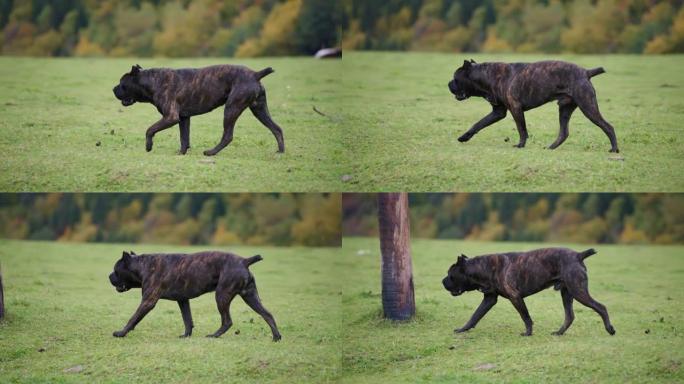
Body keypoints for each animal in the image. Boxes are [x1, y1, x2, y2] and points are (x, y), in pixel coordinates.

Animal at [109, 250, 280, 340]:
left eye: (116, 270)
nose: (109, 276)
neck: (143, 266)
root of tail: (244, 261)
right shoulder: (183, 301)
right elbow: (187, 319)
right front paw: (186, 335)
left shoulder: (148, 301)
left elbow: (133, 318)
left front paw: (121, 333)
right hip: (250, 297)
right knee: (267, 314)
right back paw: (276, 337)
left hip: (222, 296)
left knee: (227, 321)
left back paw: (214, 335)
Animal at [112, 65, 284, 156]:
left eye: (122, 83)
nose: (113, 89)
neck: (152, 81)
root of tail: (255, 74)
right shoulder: (183, 118)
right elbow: (184, 137)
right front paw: (182, 153)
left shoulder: (170, 117)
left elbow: (150, 129)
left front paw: (148, 146)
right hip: (259, 110)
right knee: (277, 129)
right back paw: (280, 151)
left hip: (231, 109)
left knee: (227, 136)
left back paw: (212, 152)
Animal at [440, 249, 616, 336]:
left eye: (450, 275)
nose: (442, 281)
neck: (482, 267)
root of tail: (578, 255)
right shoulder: (489, 300)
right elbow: (474, 316)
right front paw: (463, 329)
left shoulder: (515, 298)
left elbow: (526, 317)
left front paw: (528, 333)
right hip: (567, 294)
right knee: (570, 316)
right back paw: (559, 332)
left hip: (578, 291)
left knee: (601, 307)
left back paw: (610, 329)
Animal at [448, 59, 620, 152]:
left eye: (455, 78)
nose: (448, 83)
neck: (487, 76)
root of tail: (586, 72)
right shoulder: (498, 112)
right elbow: (479, 124)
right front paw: (464, 137)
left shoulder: (516, 109)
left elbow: (522, 129)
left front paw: (520, 145)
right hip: (565, 109)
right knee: (564, 132)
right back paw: (551, 148)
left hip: (588, 107)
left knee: (608, 127)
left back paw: (614, 149)